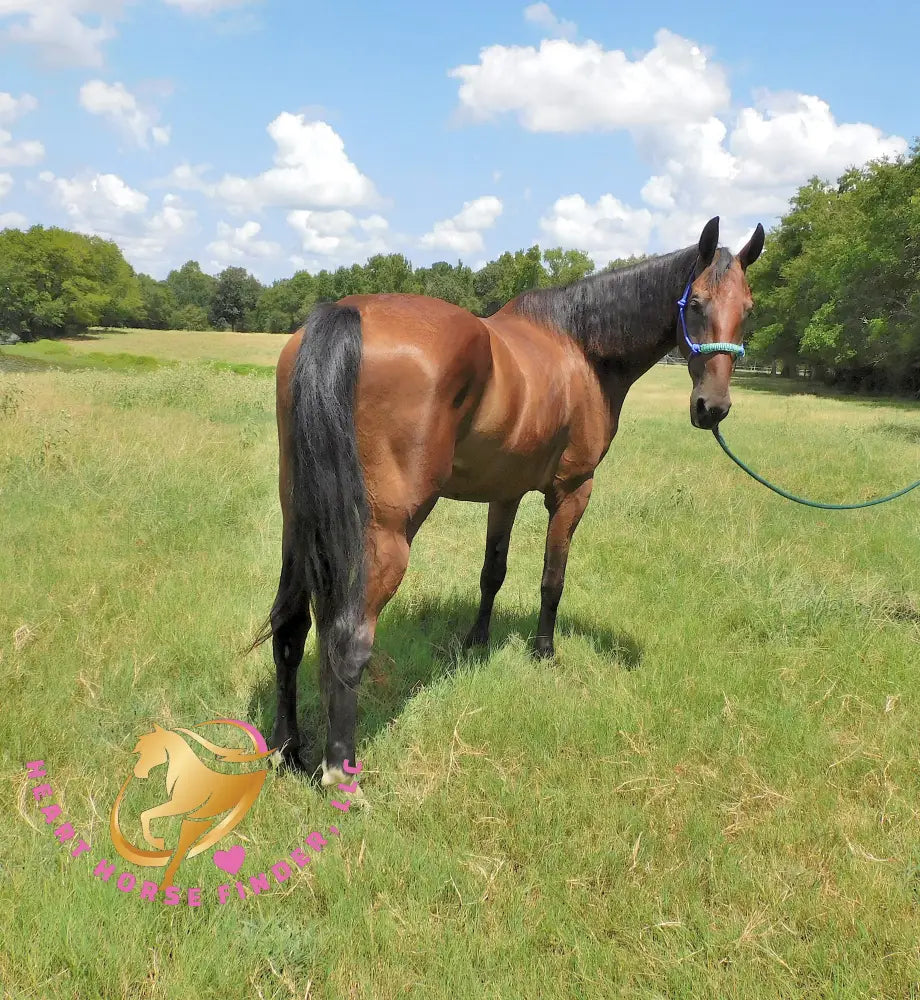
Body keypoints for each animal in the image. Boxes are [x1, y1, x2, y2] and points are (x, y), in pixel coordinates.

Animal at [251, 215, 765, 787]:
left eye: (748, 308)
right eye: (695, 302)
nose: (712, 407)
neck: (582, 347)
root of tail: (347, 314)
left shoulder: (506, 493)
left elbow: (491, 572)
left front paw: (477, 641)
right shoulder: (573, 491)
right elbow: (552, 578)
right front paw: (544, 651)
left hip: (302, 524)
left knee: (290, 629)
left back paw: (287, 751)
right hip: (382, 536)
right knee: (348, 638)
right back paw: (340, 771)